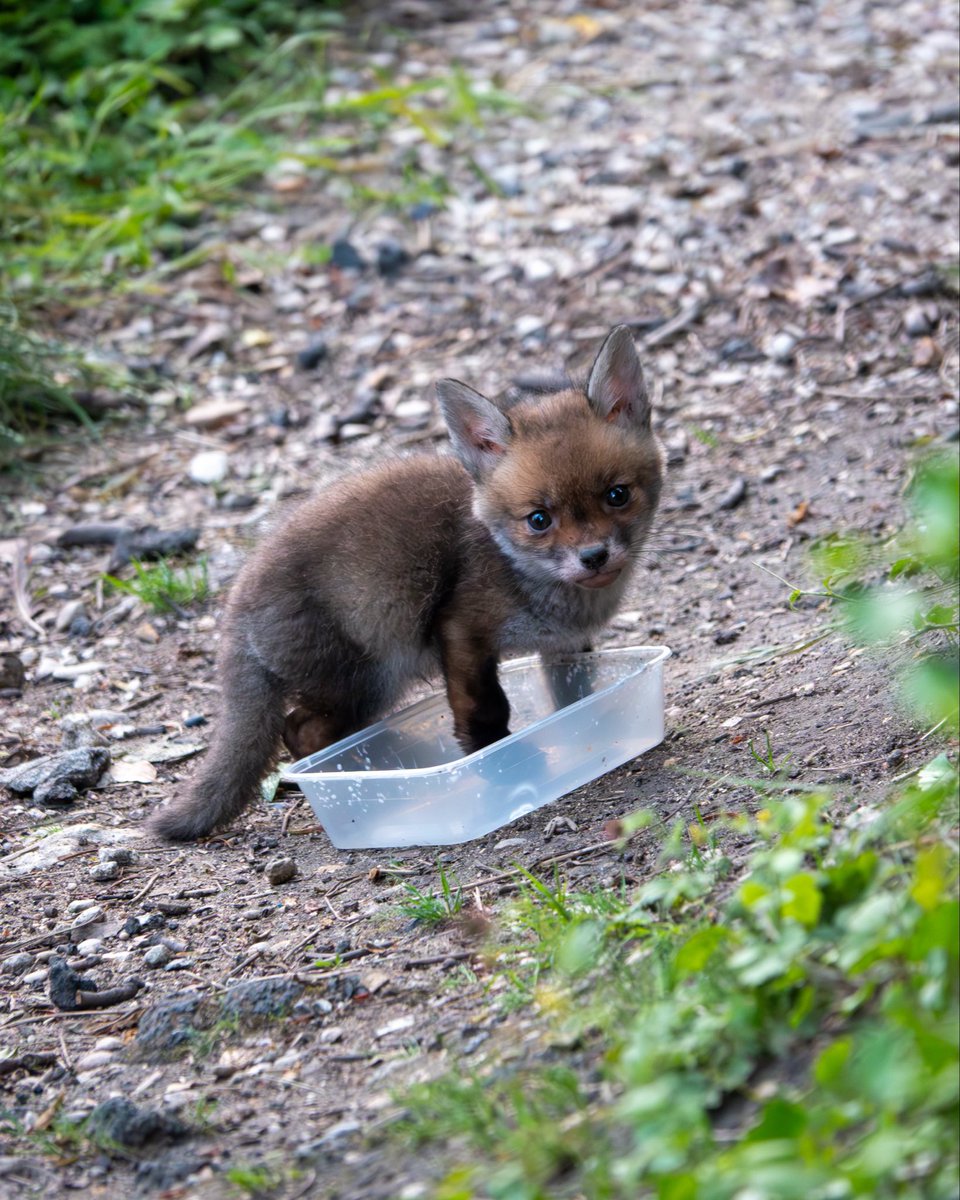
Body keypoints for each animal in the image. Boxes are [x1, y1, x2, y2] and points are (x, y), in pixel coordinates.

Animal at [150, 326, 665, 840]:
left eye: (617, 495)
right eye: (539, 519)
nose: (593, 557)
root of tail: (236, 606)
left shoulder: (564, 645)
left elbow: (577, 693)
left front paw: (591, 727)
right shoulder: (461, 630)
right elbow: (484, 710)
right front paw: (506, 768)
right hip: (369, 679)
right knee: (301, 731)